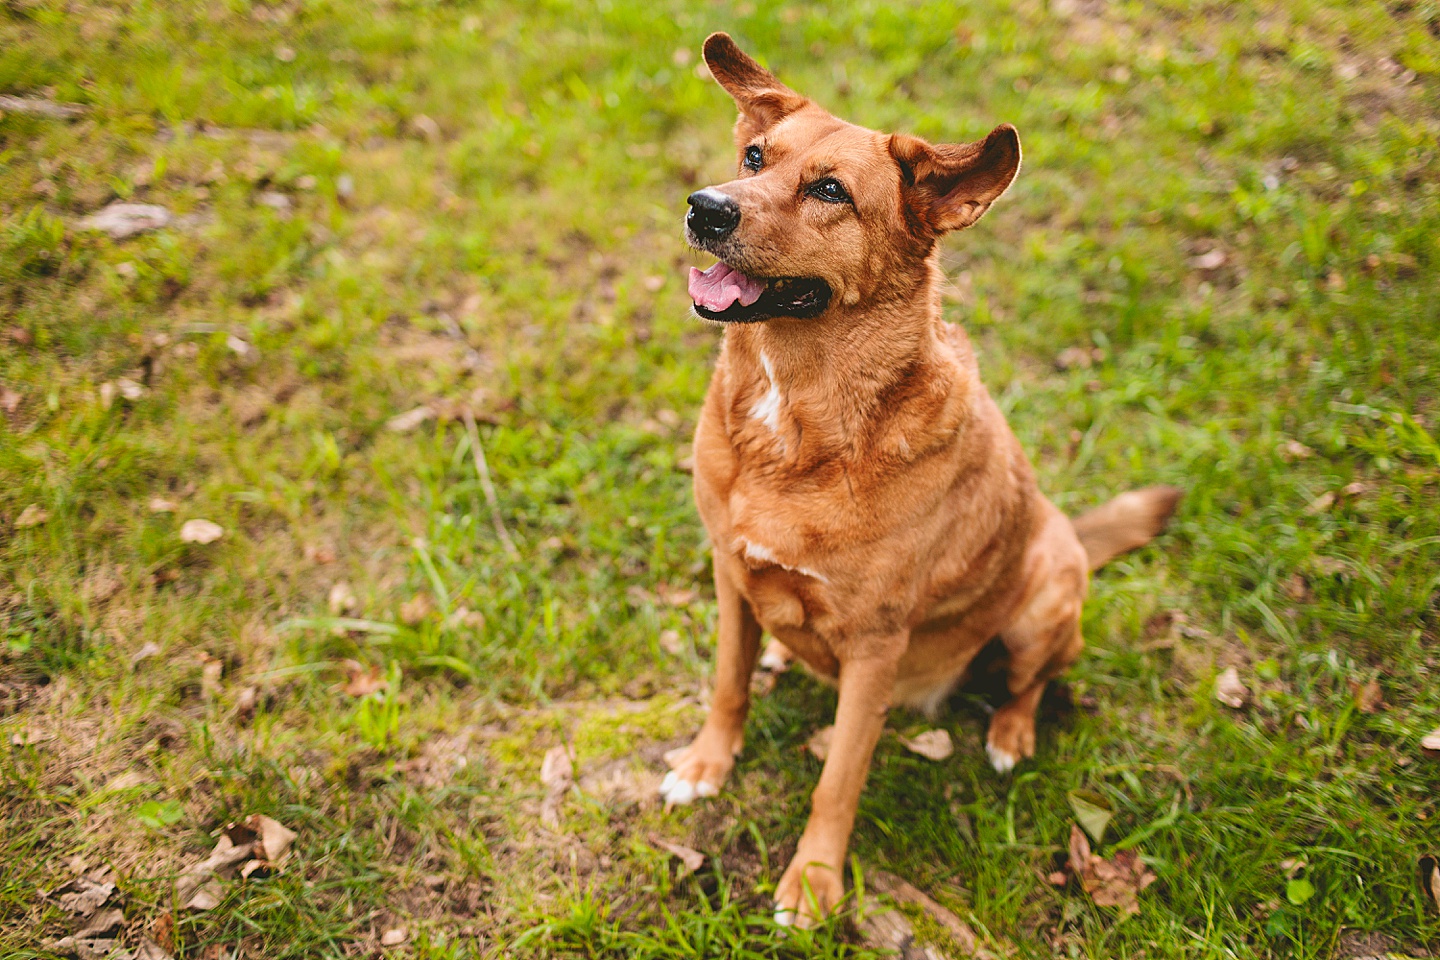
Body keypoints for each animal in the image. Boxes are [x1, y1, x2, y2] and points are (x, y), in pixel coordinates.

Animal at [659, 35, 1175, 932]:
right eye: (755, 158)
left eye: (830, 190)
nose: (706, 209)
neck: (795, 421)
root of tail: (1067, 529)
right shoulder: (729, 575)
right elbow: (726, 686)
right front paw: (706, 763)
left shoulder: (874, 646)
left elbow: (838, 782)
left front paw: (815, 882)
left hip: (1043, 600)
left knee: (1034, 681)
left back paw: (1009, 736)